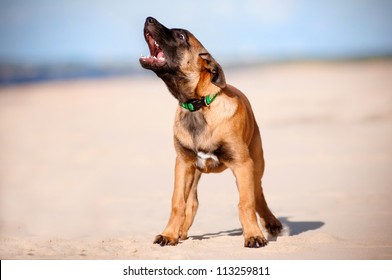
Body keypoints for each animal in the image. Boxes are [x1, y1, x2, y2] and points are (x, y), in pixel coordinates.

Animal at [139, 17, 280, 247]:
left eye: (181, 36)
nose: (148, 18)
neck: (197, 105)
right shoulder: (183, 164)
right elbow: (178, 202)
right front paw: (169, 234)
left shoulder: (242, 164)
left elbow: (246, 202)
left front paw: (253, 234)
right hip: (195, 172)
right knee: (192, 202)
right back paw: (181, 231)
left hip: (256, 162)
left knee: (258, 193)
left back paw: (271, 222)